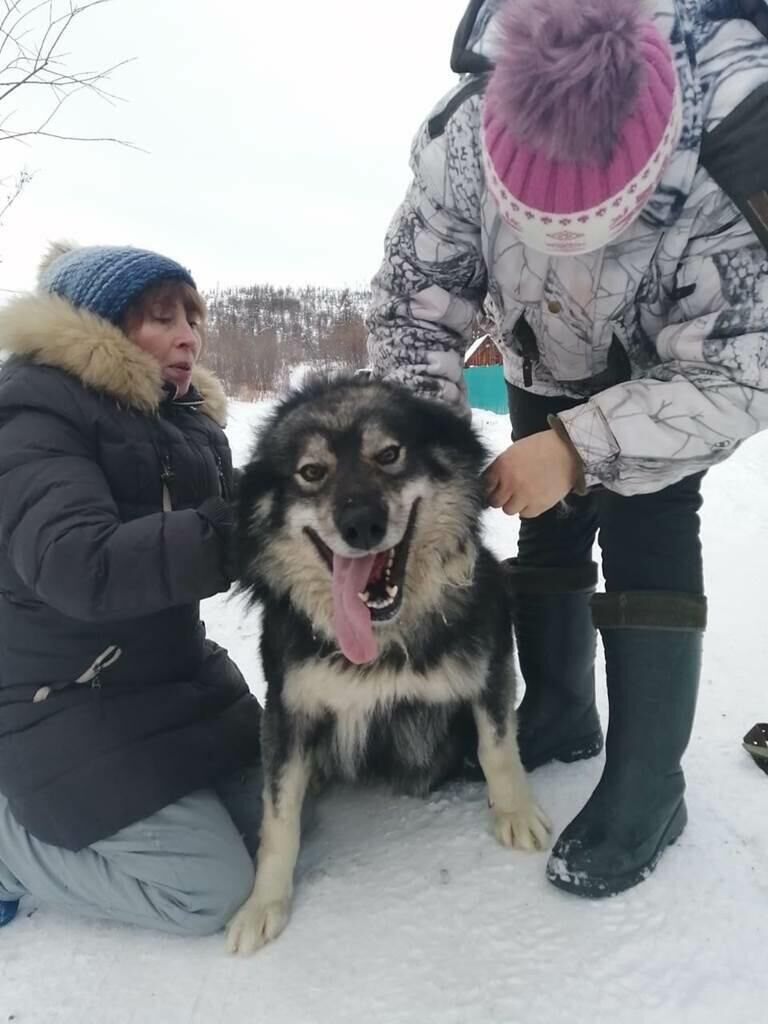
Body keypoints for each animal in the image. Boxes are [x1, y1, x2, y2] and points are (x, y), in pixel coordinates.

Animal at [225, 374, 548, 950]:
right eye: (312, 472)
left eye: (389, 454)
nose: (362, 525)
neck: (383, 638)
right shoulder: (287, 711)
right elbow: (279, 816)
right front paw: (264, 903)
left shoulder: (490, 667)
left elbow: (497, 750)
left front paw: (515, 810)